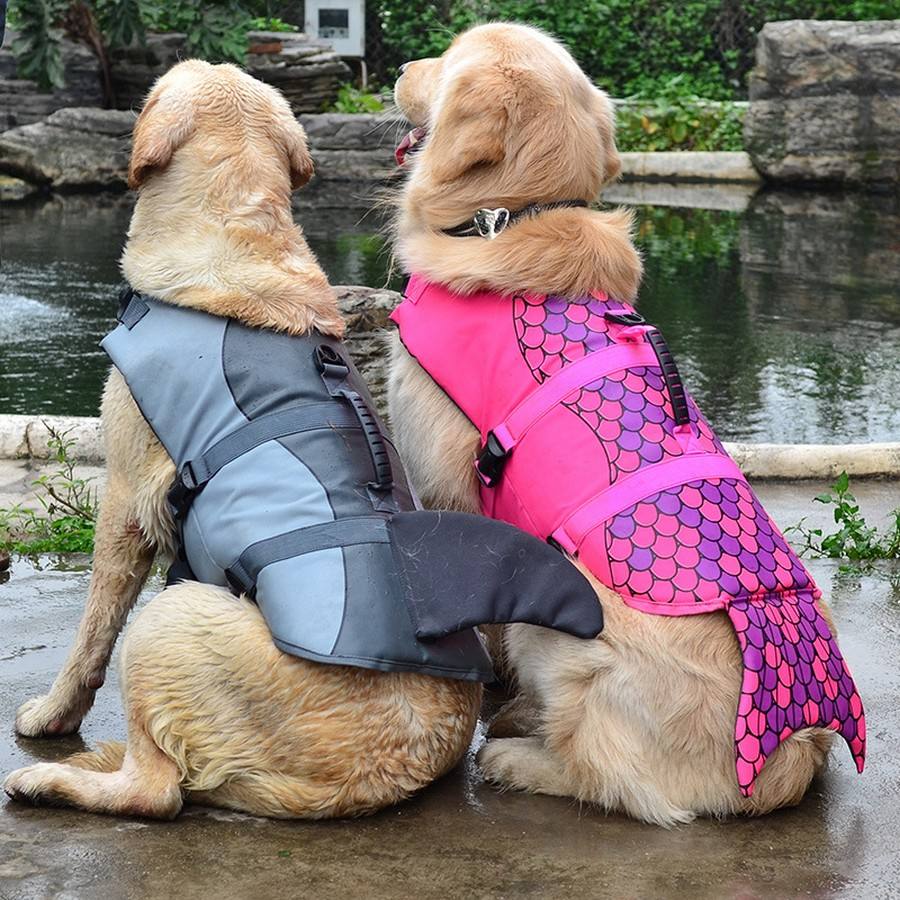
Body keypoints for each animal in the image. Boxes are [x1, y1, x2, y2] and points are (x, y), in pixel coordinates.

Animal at [384, 22, 860, 824]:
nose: (397, 67)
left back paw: (516, 753)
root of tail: (791, 749)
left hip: (559, 611)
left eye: (445, 60)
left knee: (604, 776)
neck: (518, 215)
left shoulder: (450, 491)